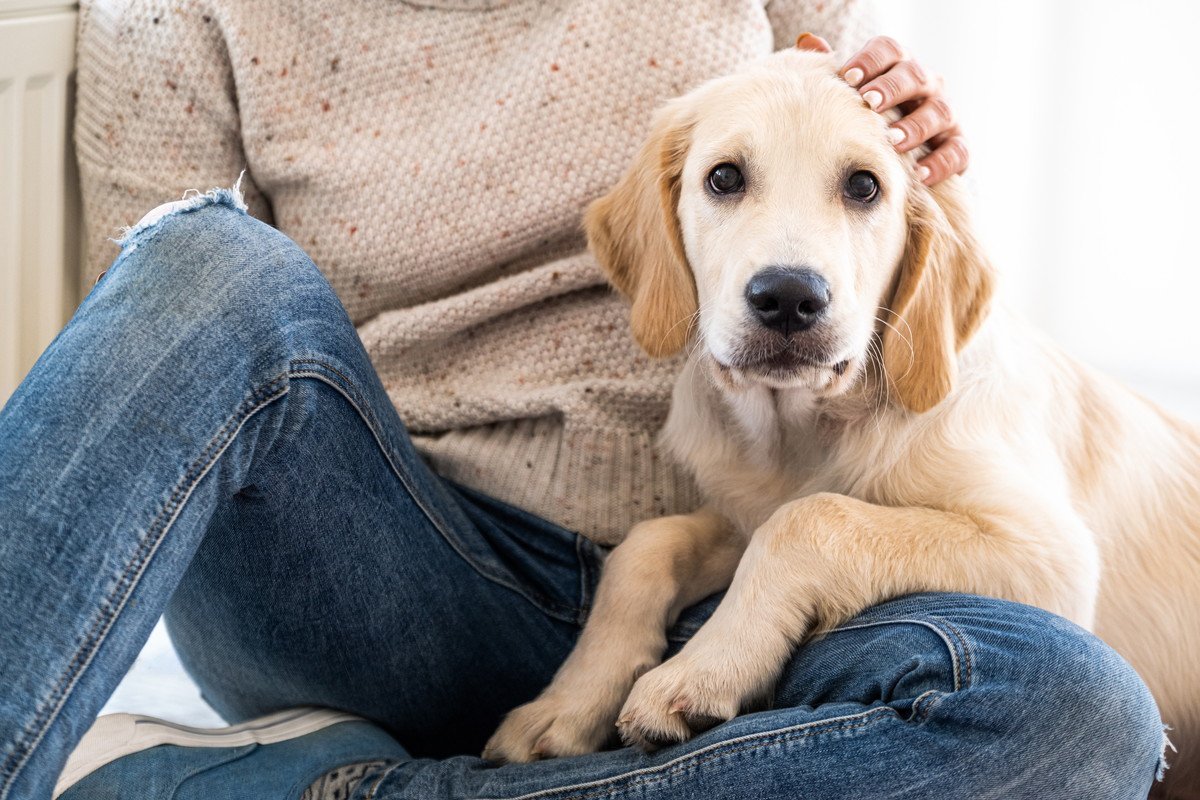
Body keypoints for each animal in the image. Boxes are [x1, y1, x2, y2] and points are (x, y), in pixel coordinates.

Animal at [484, 47, 1200, 796]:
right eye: (724, 178)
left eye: (863, 186)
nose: (788, 298)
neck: (807, 429)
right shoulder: (741, 511)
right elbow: (650, 543)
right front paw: (567, 702)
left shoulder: (1049, 551)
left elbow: (810, 518)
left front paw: (702, 672)